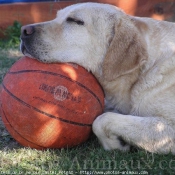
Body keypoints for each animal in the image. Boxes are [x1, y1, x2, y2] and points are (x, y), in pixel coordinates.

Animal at [20, 2, 175, 154]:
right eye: (57, 16)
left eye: (75, 21)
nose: (24, 30)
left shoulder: (167, 127)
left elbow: (100, 120)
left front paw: (116, 144)